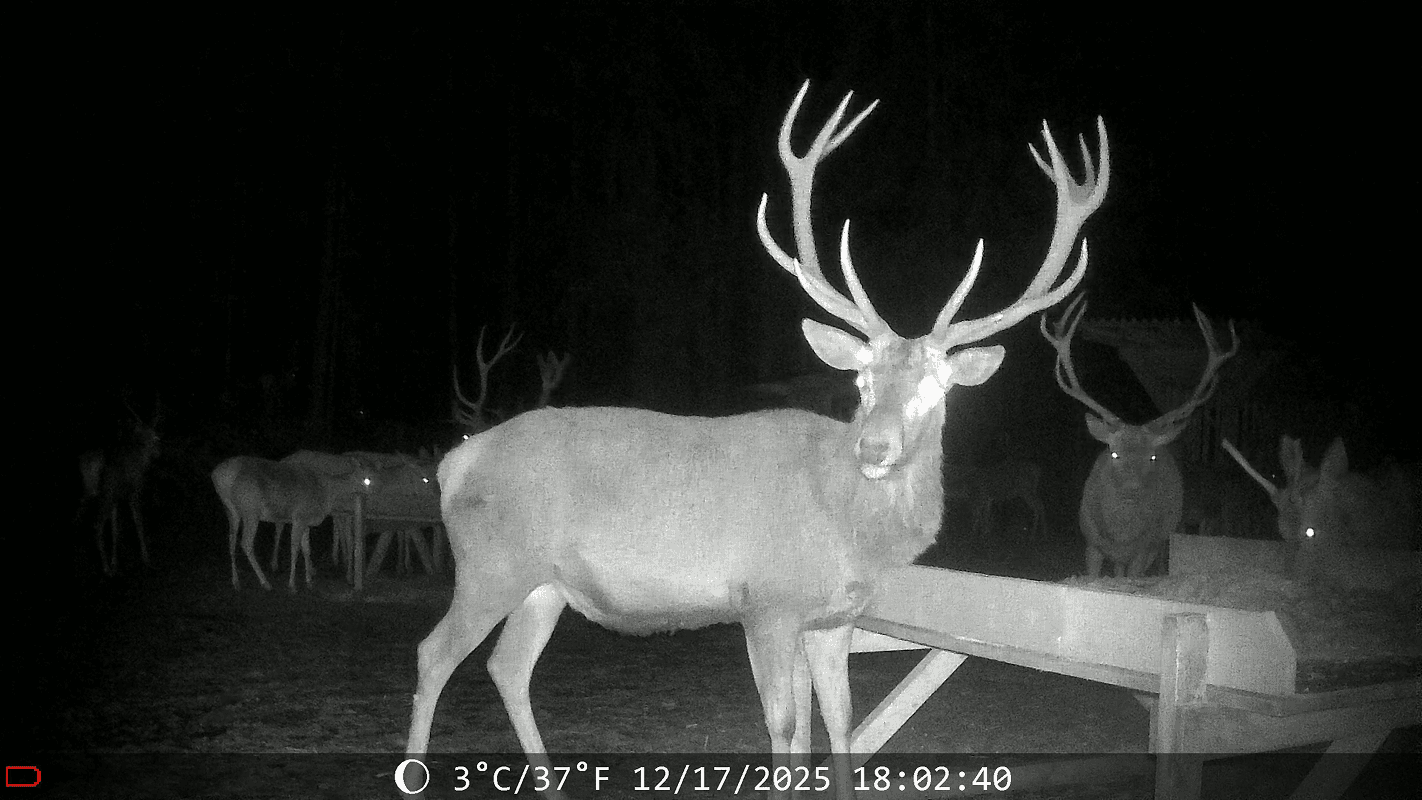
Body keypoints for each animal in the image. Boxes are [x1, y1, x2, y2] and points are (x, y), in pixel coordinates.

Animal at [76, 405, 162, 577]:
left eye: (154, 434)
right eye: (148, 435)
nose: (157, 452)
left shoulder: (117, 497)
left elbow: (115, 528)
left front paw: (115, 562)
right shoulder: (133, 491)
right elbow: (138, 521)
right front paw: (147, 559)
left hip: (90, 492)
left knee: (79, 514)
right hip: (105, 493)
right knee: (96, 524)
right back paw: (106, 569)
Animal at [404, 81, 1109, 800]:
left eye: (938, 388)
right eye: (860, 380)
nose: (874, 448)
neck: (848, 526)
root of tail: (457, 461)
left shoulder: (833, 619)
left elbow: (842, 724)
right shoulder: (767, 601)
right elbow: (786, 728)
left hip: (543, 583)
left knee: (506, 667)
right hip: (491, 563)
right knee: (434, 654)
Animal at [1041, 296, 1238, 578]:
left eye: (1152, 457)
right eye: (1114, 453)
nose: (1132, 489)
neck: (1121, 537)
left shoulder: (1144, 548)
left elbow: (1133, 573)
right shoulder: (1091, 543)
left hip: (1168, 535)